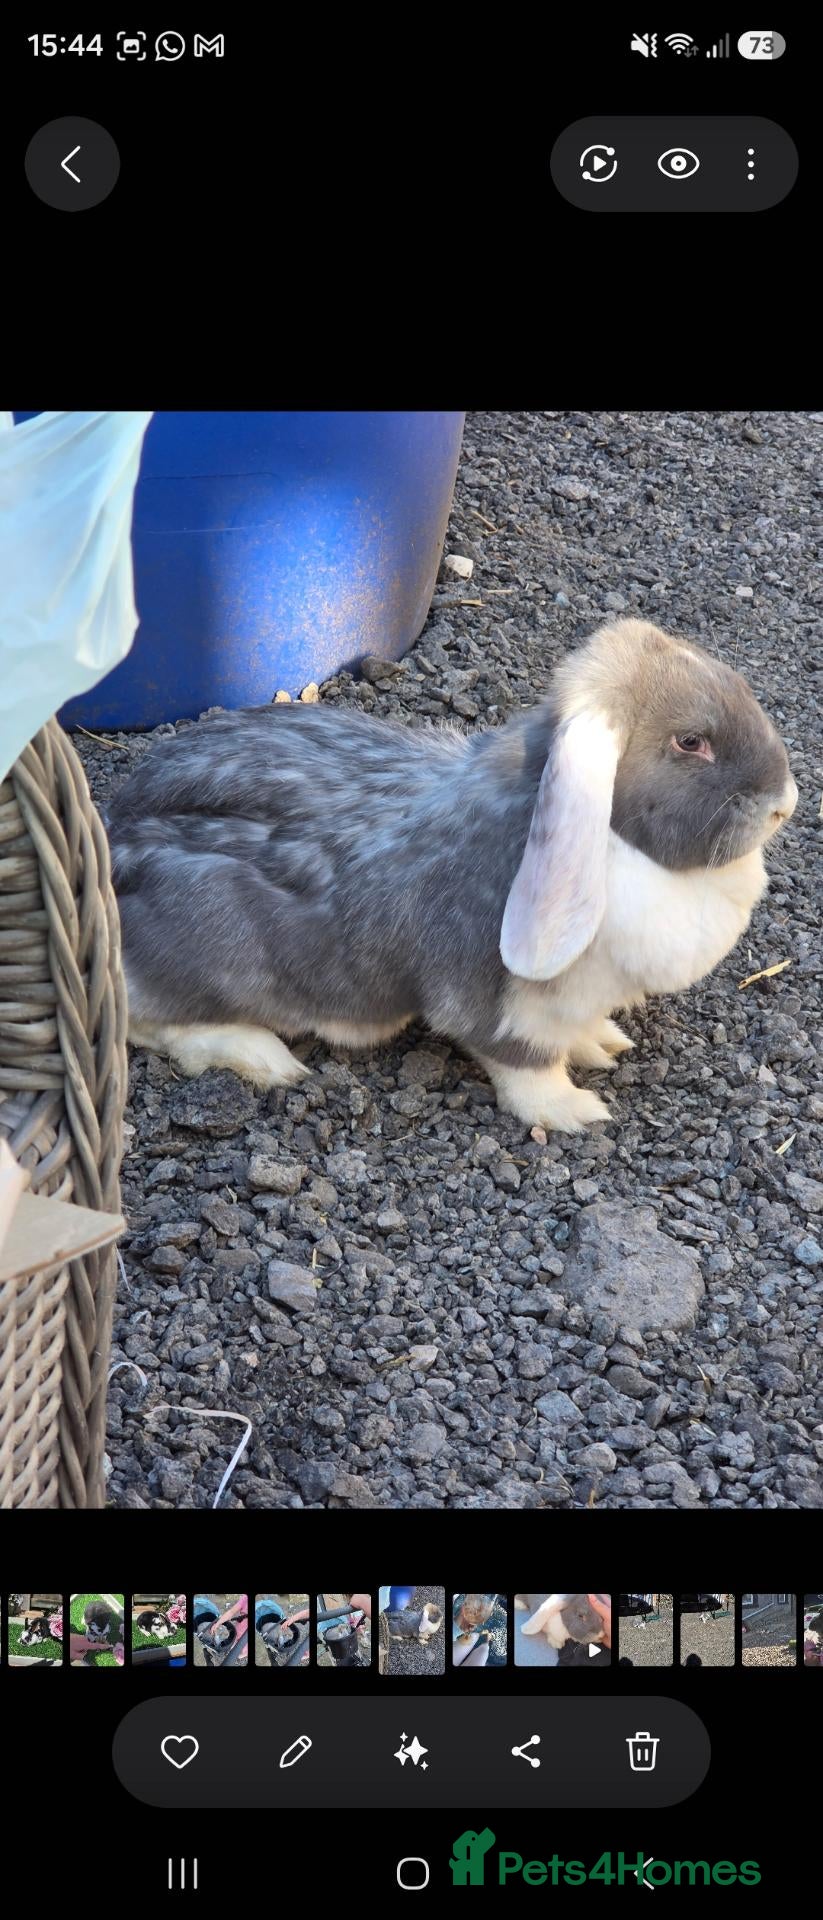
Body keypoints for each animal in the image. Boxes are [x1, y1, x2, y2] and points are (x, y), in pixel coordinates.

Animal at [107, 619, 797, 1134]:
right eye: (690, 742)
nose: (784, 804)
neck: (615, 844)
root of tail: (111, 844)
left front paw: (603, 1042)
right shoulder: (498, 1007)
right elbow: (524, 1067)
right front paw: (575, 1111)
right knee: (152, 1023)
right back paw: (265, 1059)